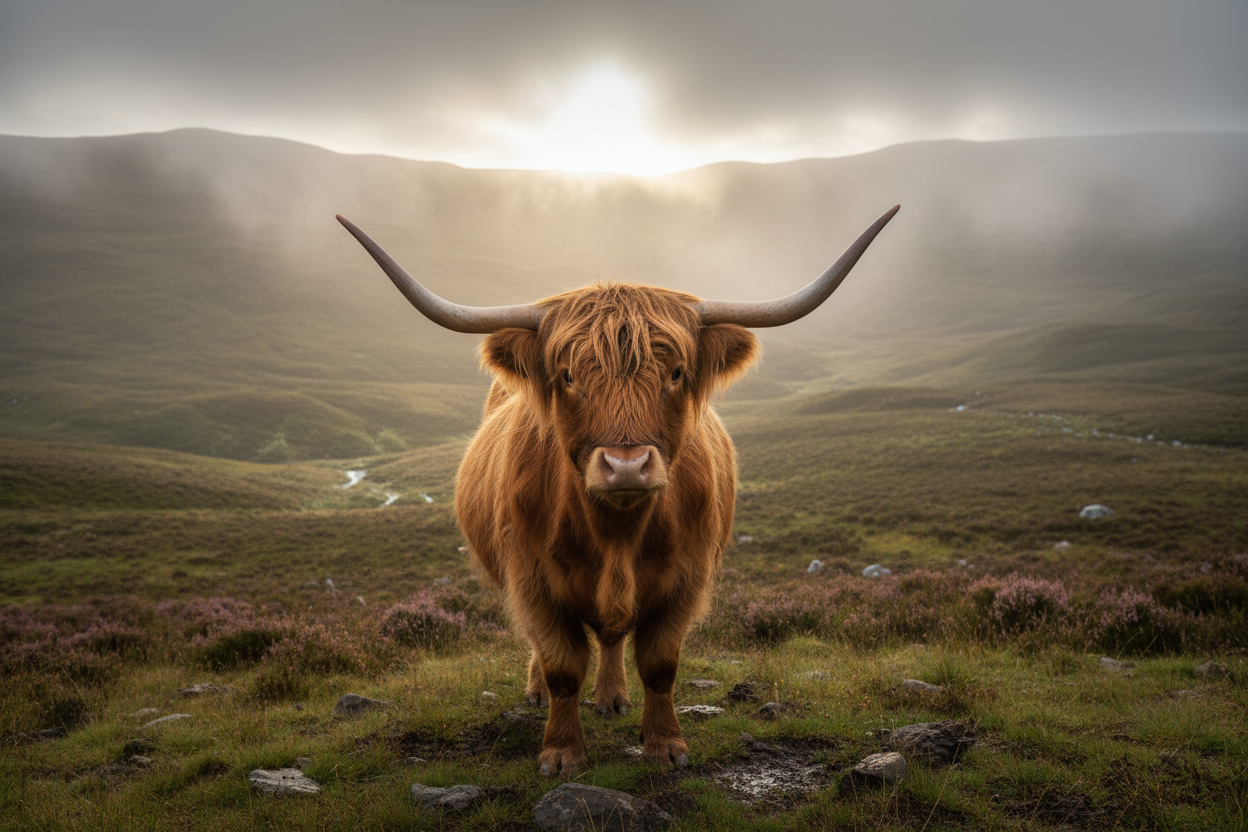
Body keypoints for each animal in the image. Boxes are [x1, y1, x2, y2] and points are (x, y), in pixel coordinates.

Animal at [337, 205, 898, 776]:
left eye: (676, 373)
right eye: (567, 375)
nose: (626, 466)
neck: (617, 535)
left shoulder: (687, 579)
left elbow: (660, 664)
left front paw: (665, 745)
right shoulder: (531, 579)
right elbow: (562, 665)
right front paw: (561, 752)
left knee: (611, 637)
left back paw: (611, 696)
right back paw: (539, 692)